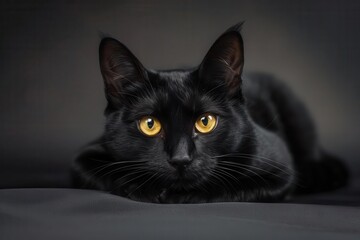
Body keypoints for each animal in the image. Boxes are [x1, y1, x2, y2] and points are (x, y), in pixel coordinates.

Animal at [71, 23, 348, 202]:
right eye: (150, 124)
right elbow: (108, 171)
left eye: (205, 122)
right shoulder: (85, 157)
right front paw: (144, 188)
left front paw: (185, 195)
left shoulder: (280, 165)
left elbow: (235, 184)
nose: (181, 159)